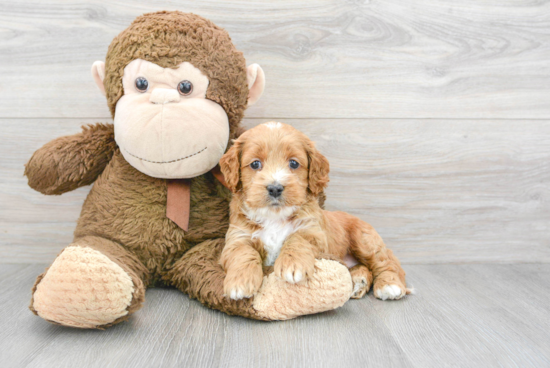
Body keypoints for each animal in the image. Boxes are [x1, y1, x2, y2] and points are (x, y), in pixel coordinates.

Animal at [218, 122, 412, 300]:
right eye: (255, 164)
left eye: (294, 163)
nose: (275, 188)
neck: (275, 217)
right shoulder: (237, 237)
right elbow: (243, 253)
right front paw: (240, 282)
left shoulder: (314, 232)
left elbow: (297, 238)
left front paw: (293, 264)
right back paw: (358, 282)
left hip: (365, 239)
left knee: (385, 262)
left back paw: (389, 285)